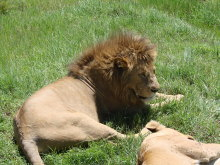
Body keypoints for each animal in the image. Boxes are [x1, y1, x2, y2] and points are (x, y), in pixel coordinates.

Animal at [13, 31, 182, 164]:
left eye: (154, 71)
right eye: (141, 74)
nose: (155, 87)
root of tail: (25, 135)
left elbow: (161, 96)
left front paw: (178, 95)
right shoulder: (128, 108)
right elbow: (158, 104)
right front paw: (175, 100)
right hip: (83, 121)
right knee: (127, 138)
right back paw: (149, 126)